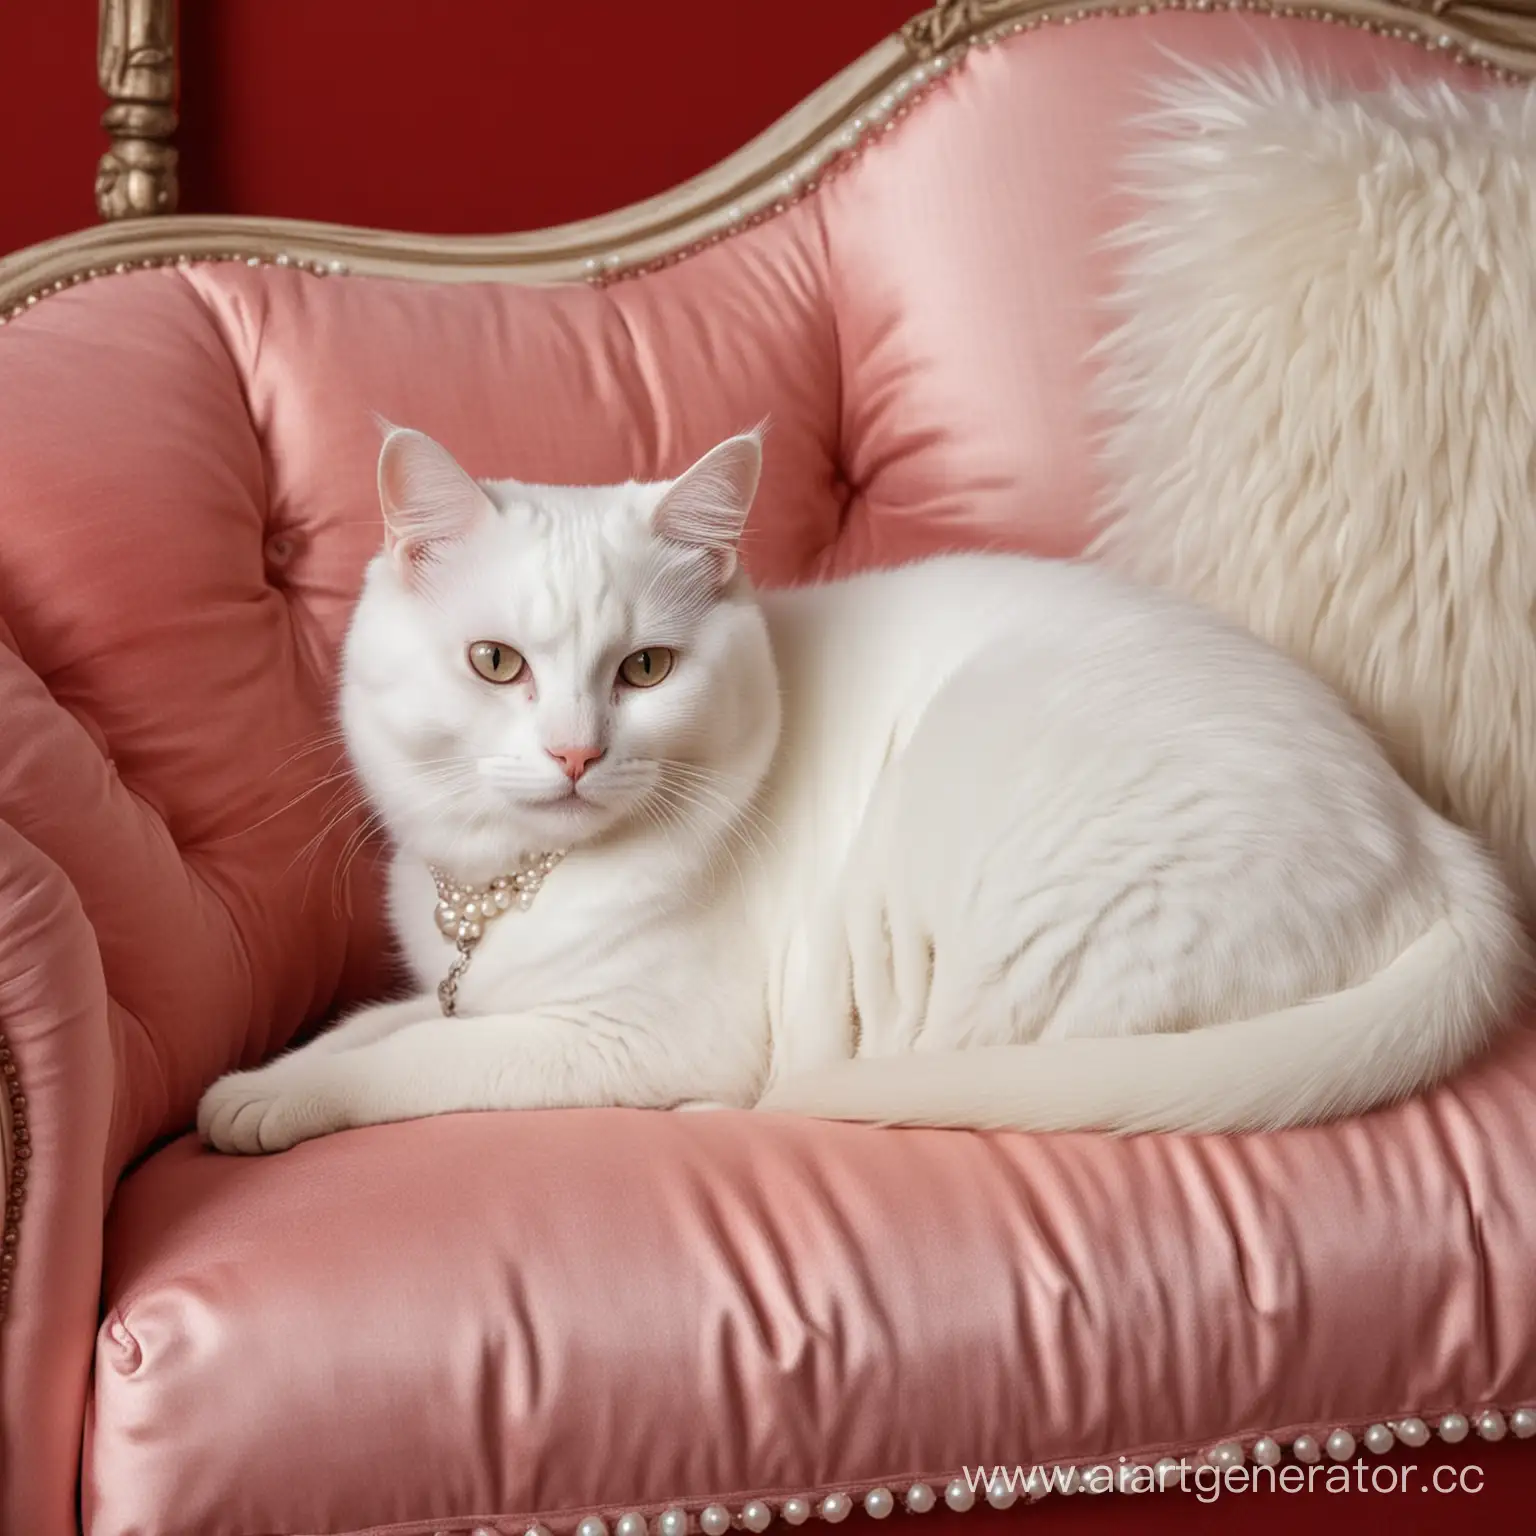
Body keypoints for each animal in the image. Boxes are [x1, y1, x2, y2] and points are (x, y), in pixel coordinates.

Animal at [201, 423, 1523, 1155]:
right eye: (495, 664)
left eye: (645, 670)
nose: (576, 752)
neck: (512, 887)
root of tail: (1428, 829)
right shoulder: (464, 984)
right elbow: (379, 1023)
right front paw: (259, 1088)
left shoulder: (623, 1038)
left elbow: (420, 1059)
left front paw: (295, 1101)